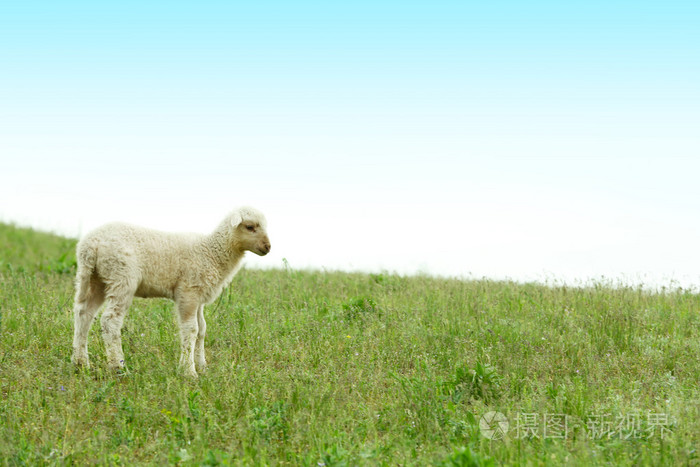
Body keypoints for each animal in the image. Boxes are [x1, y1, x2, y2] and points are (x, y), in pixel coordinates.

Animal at [69, 207, 270, 378]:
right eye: (250, 226)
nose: (268, 247)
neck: (212, 252)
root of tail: (90, 245)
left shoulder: (199, 296)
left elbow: (202, 329)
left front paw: (201, 365)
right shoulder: (188, 291)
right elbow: (191, 330)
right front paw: (189, 371)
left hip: (95, 278)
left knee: (83, 314)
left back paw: (80, 363)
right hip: (121, 276)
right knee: (110, 320)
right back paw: (118, 366)